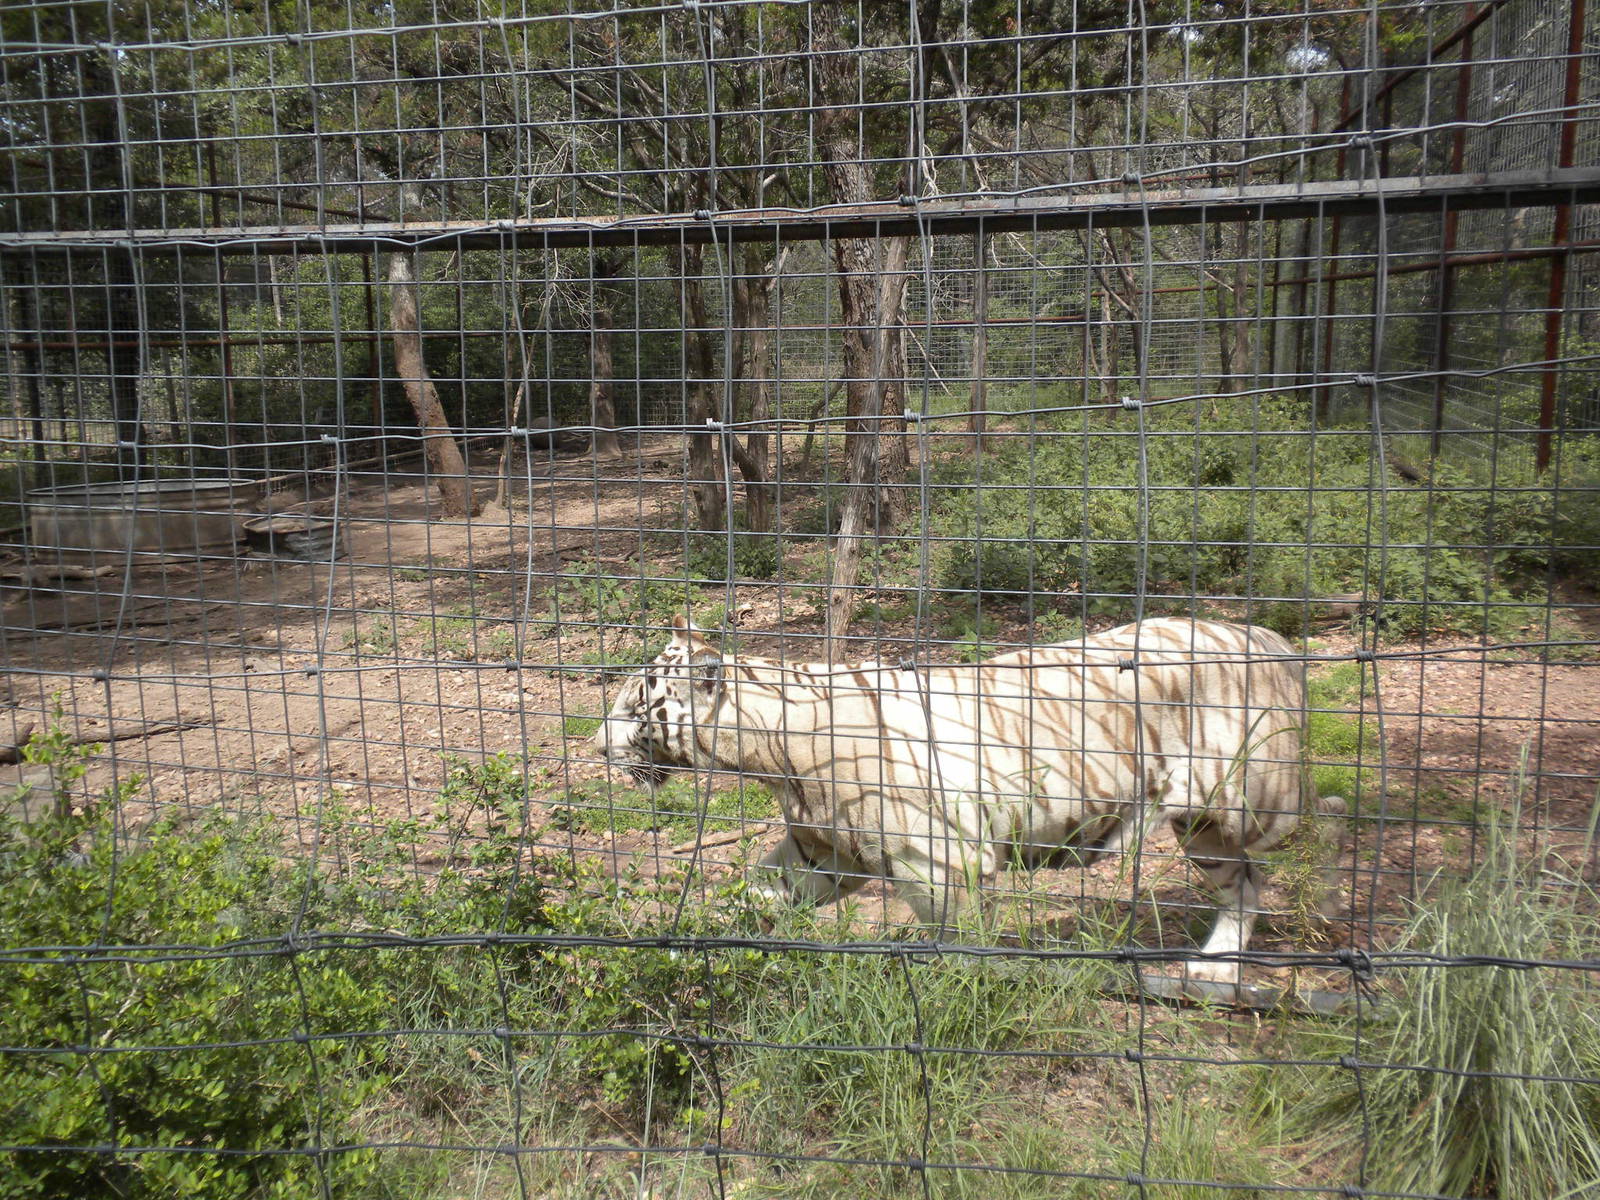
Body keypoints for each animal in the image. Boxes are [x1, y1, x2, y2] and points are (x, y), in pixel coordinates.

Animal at [592, 614, 1345, 983]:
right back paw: (1214, 966)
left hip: (1255, 797)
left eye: (634, 706)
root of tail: (1270, 637)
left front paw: (960, 991)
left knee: (1318, 842)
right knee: (1241, 887)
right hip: (1201, 825)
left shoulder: (941, 863)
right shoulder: (820, 856)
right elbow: (748, 893)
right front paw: (680, 950)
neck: (771, 758)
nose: (595, 746)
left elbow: (959, 943)